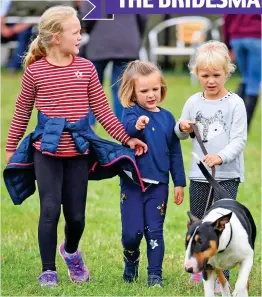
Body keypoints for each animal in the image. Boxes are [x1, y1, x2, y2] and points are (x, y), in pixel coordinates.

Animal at [184, 153, 256, 296]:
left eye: (200, 241)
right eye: (186, 242)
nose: (188, 268)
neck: (223, 247)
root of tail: (225, 197)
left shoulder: (248, 257)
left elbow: (241, 282)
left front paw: (239, 292)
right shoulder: (207, 266)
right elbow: (210, 290)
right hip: (215, 265)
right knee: (222, 277)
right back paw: (225, 290)